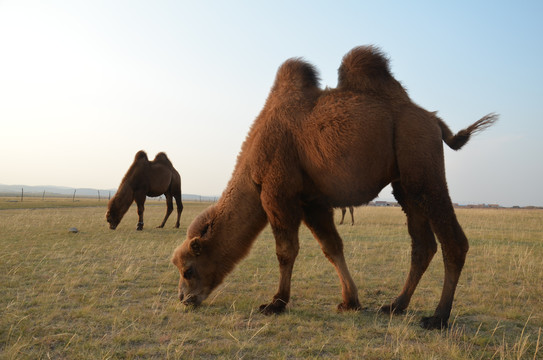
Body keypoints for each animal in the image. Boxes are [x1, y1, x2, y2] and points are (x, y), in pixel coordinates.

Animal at [172, 45, 500, 330]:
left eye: (188, 269)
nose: (185, 299)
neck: (253, 164)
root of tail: (434, 120)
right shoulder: (312, 200)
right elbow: (332, 247)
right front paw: (350, 301)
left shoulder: (279, 193)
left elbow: (286, 251)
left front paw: (276, 303)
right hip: (405, 185)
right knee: (423, 245)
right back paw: (396, 305)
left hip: (421, 161)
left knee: (453, 241)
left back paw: (438, 318)